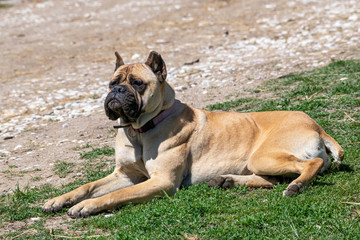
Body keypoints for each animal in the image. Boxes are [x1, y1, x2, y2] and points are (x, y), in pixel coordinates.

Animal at [42, 51, 344, 218]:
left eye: (137, 83)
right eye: (112, 83)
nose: (116, 92)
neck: (139, 129)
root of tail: (317, 126)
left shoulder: (161, 182)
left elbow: (115, 195)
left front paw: (88, 206)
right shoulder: (125, 175)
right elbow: (87, 186)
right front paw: (59, 199)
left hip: (264, 156)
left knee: (310, 164)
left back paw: (297, 186)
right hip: (259, 162)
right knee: (270, 180)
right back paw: (226, 181)